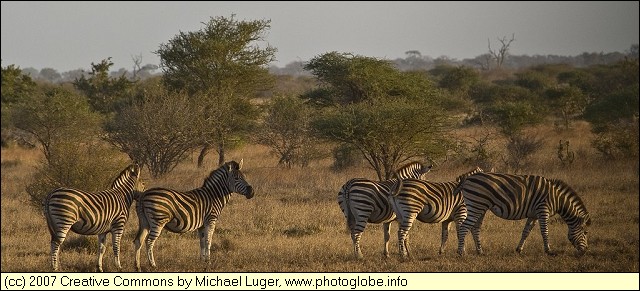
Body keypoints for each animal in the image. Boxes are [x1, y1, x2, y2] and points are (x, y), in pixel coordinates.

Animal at [456, 173, 592, 258]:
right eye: (585, 232)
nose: (585, 251)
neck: (557, 199)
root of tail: (467, 179)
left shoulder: (534, 215)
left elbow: (526, 231)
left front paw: (519, 250)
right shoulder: (543, 210)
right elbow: (545, 231)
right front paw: (549, 251)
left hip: (481, 207)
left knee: (475, 228)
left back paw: (480, 252)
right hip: (477, 204)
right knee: (464, 227)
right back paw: (461, 253)